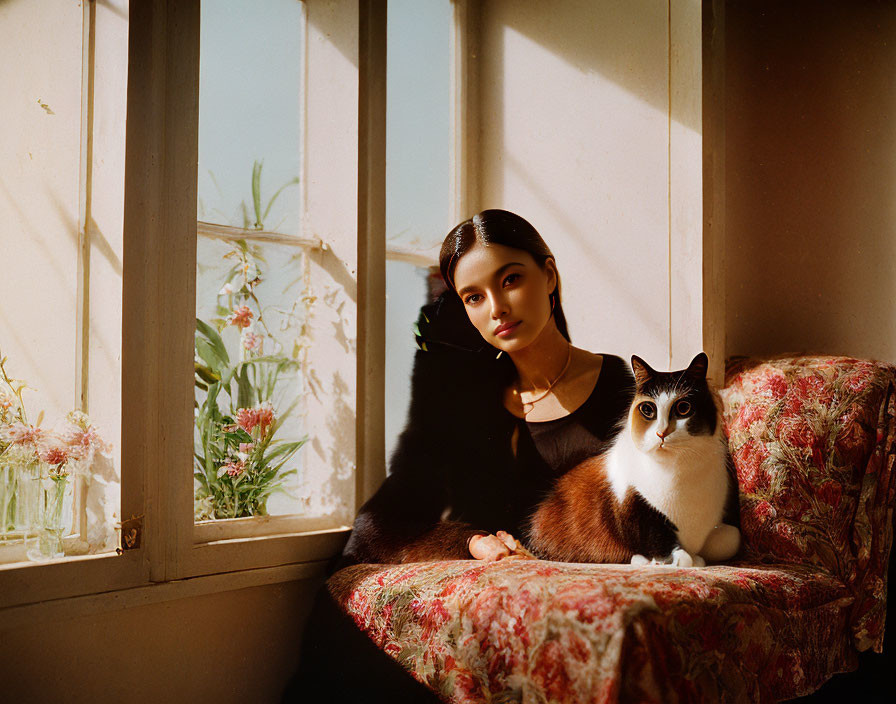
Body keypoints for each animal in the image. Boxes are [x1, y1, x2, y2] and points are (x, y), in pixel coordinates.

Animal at [524, 352, 744, 568]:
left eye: (683, 408)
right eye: (647, 409)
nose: (661, 433)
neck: (678, 468)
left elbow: (732, 539)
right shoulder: (634, 509)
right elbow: (671, 551)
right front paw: (656, 560)